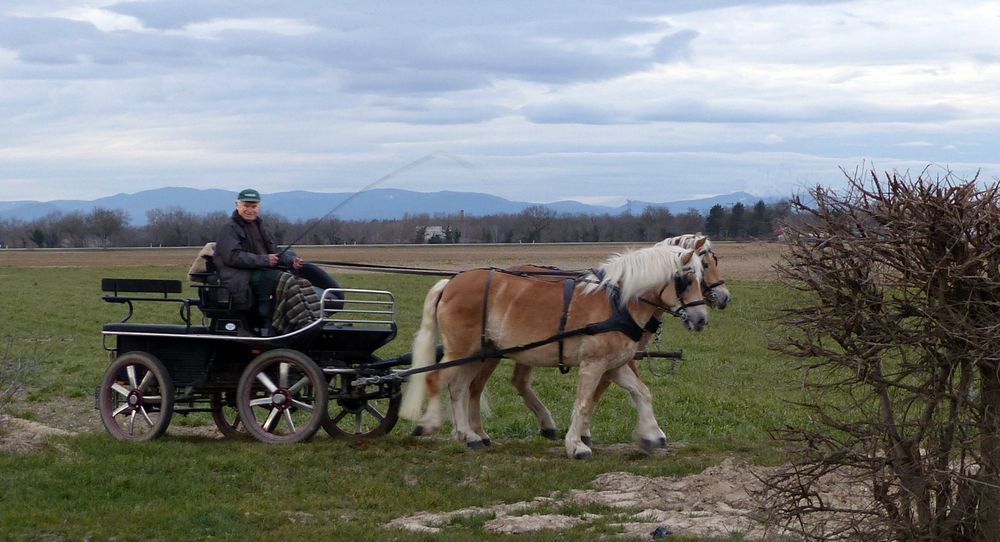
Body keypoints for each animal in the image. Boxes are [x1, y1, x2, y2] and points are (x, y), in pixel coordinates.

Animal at [400, 242, 712, 460]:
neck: (617, 302)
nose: (701, 319)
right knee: (437, 379)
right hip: (462, 349)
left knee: (461, 387)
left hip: (479, 353)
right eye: (686, 280)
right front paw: (577, 445)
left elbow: (642, 392)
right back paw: (430, 424)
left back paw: (469, 435)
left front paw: (652, 434)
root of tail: (451, 282)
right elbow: (583, 402)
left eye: (702, 277)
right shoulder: (593, 363)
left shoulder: (616, 364)